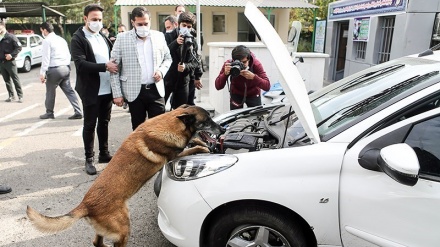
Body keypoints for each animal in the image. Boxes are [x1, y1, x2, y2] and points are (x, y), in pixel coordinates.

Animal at [26, 105, 223, 247]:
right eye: (207, 121)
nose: (221, 129)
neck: (171, 123)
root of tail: (85, 204)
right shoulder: (173, 156)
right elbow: (192, 148)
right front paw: (203, 147)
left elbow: (193, 140)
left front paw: (200, 141)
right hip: (123, 229)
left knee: (97, 242)